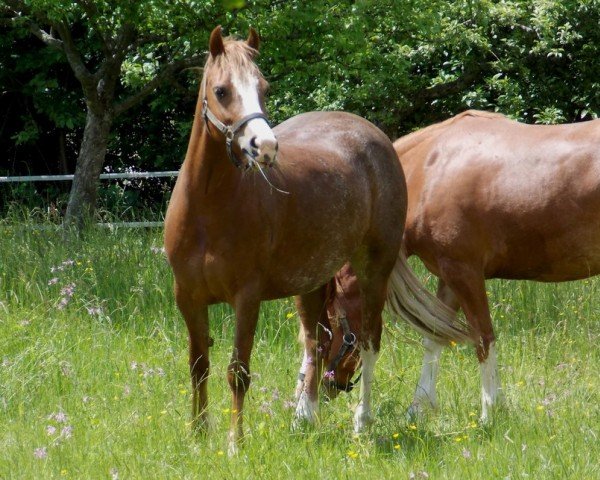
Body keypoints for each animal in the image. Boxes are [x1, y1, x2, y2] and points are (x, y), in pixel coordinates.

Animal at [164, 27, 468, 454]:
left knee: (369, 341)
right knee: (316, 343)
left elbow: (237, 370)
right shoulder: (187, 296)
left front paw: (234, 444)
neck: (209, 210)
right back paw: (303, 419)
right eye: (221, 90)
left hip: (373, 269)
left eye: (264, 88)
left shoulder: (246, 297)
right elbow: (198, 365)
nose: (265, 147)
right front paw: (197, 435)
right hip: (311, 281)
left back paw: (362, 423)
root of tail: (375, 138)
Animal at [314, 110, 600, 422]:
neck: (430, 171)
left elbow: (483, 338)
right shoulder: (448, 277)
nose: (328, 385)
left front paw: (490, 413)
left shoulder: (463, 271)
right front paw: (417, 409)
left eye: (331, 317)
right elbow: (433, 338)